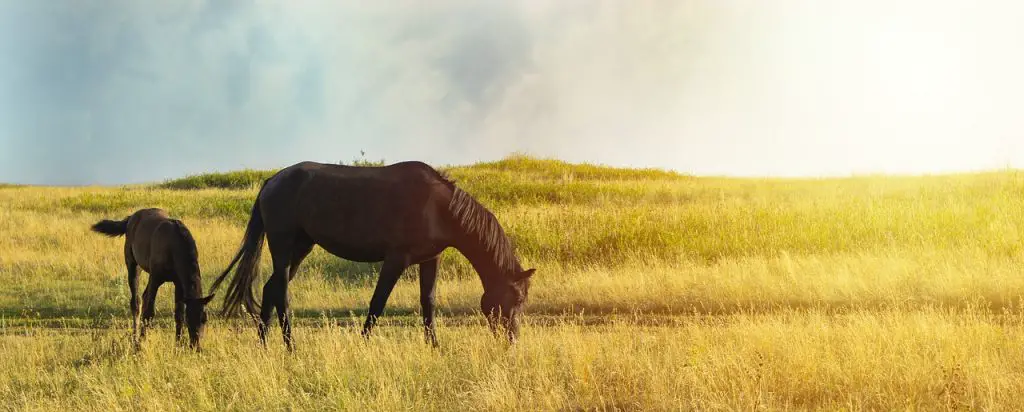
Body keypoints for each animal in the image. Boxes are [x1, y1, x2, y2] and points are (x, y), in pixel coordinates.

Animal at [91, 209, 215, 348]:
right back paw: (135, 338)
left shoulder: (178, 283)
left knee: (144, 297)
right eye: (189, 319)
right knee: (136, 302)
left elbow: (178, 314)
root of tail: (131, 218)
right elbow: (149, 313)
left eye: (205, 319)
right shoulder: (155, 279)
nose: (196, 346)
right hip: (133, 266)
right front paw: (140, 344)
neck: (173, 246)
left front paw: (177, 344)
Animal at [209, 159, 536, 348]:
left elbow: (428, 302)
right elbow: (378, 303)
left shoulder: (431, 259)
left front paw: (434, 347)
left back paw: (265, 345)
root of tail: (270, 181)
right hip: (283, 244)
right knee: (282, 293)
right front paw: (363, 344)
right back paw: (291, 346)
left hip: (301, 246)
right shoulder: (396, 260)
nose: (513, 341)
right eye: (517, 299)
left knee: (271, 288)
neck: (439, 208)